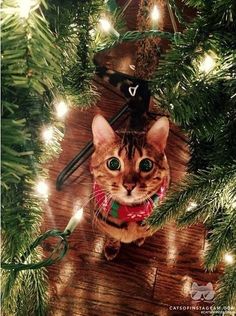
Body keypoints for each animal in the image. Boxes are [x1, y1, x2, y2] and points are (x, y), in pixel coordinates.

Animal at [90, 113, 170, 260]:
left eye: (146, 165)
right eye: (113, 163)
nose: (129, 185)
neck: (130, 213)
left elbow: (145, 233)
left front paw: (140, 238)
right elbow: (112, 236)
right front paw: (112, 246)